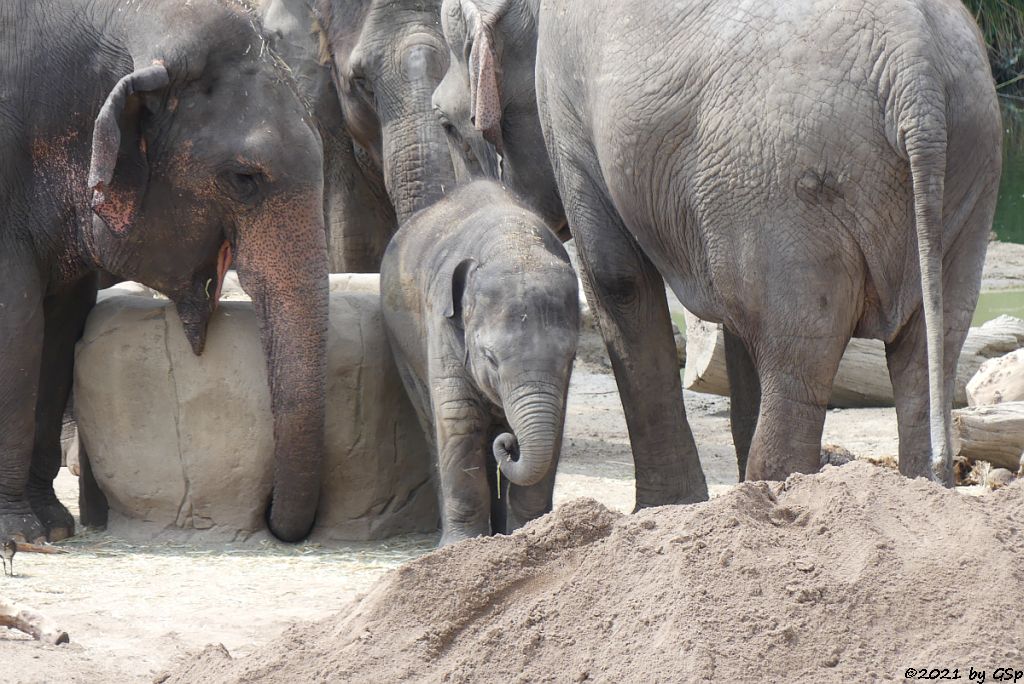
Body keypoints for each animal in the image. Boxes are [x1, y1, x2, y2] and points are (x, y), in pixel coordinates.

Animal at [1, 1, 327, 544]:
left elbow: (58, 329)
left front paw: (55, 528)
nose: (268, 516)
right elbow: (16, 326)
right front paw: (19, 535)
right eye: (244, 178)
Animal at [380, 180, 581, 544]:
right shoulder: (442, 323)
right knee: (433, 421)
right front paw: (462, 545)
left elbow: (555, 425)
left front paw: (530, 533)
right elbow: (459, 418)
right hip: (400, 343)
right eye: (490, 357)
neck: (513, 242)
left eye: (570, 356)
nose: (511, 445)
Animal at [436, 0, 1003, 497]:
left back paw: (776, 497)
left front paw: (666, 507)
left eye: (444, 123)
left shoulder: (567, 109)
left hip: (783, 184)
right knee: (931, 345)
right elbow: (735, 324)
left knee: (800, 351)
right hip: (966, 175)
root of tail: (914, 69)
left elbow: (618, 279)